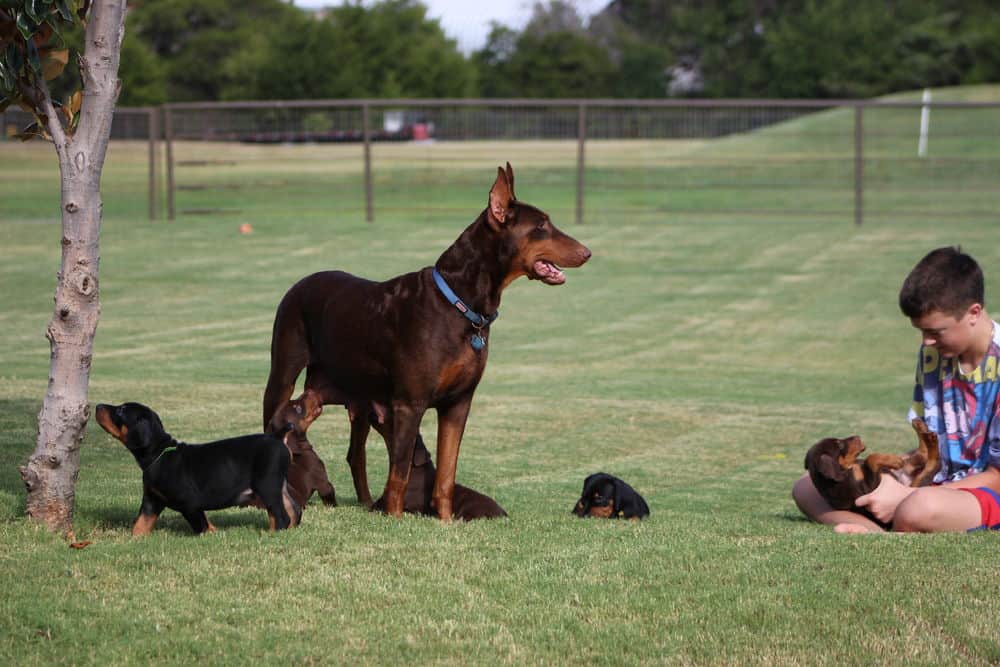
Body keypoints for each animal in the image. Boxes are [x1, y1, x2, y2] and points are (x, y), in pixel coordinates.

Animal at [96, 402, 302, 536]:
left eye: (121, 410)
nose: (97, 405)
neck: (159, 454)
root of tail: (277, 436)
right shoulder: (151, 501)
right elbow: (140, 525)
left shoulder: (190, 503)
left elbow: (202, 526)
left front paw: (212, 534)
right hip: (277, 485)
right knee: (294, 510)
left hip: (267, 484)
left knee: (281, 516)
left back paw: (271, 534)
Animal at [266, 163, 588, 520]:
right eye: (541, 226)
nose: (587, 252)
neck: (460, 304)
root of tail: (299, 284)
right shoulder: (410, 404)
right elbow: (400, 473)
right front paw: (395, 520)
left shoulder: (458, 403)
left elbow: (446, 475)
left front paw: (446, 521)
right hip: (283, 373)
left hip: (357, 399)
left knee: (355, 454)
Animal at [800, 414, 940, 524]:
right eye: (839, 445)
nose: (858, 436)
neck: (847, 470)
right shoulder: (869, 486)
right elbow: (870, 459)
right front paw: (895, 460)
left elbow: (868, 459)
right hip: (918, 483)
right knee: (933, 463)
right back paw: (929, 437)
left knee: (923, 454)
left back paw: (920, 426)